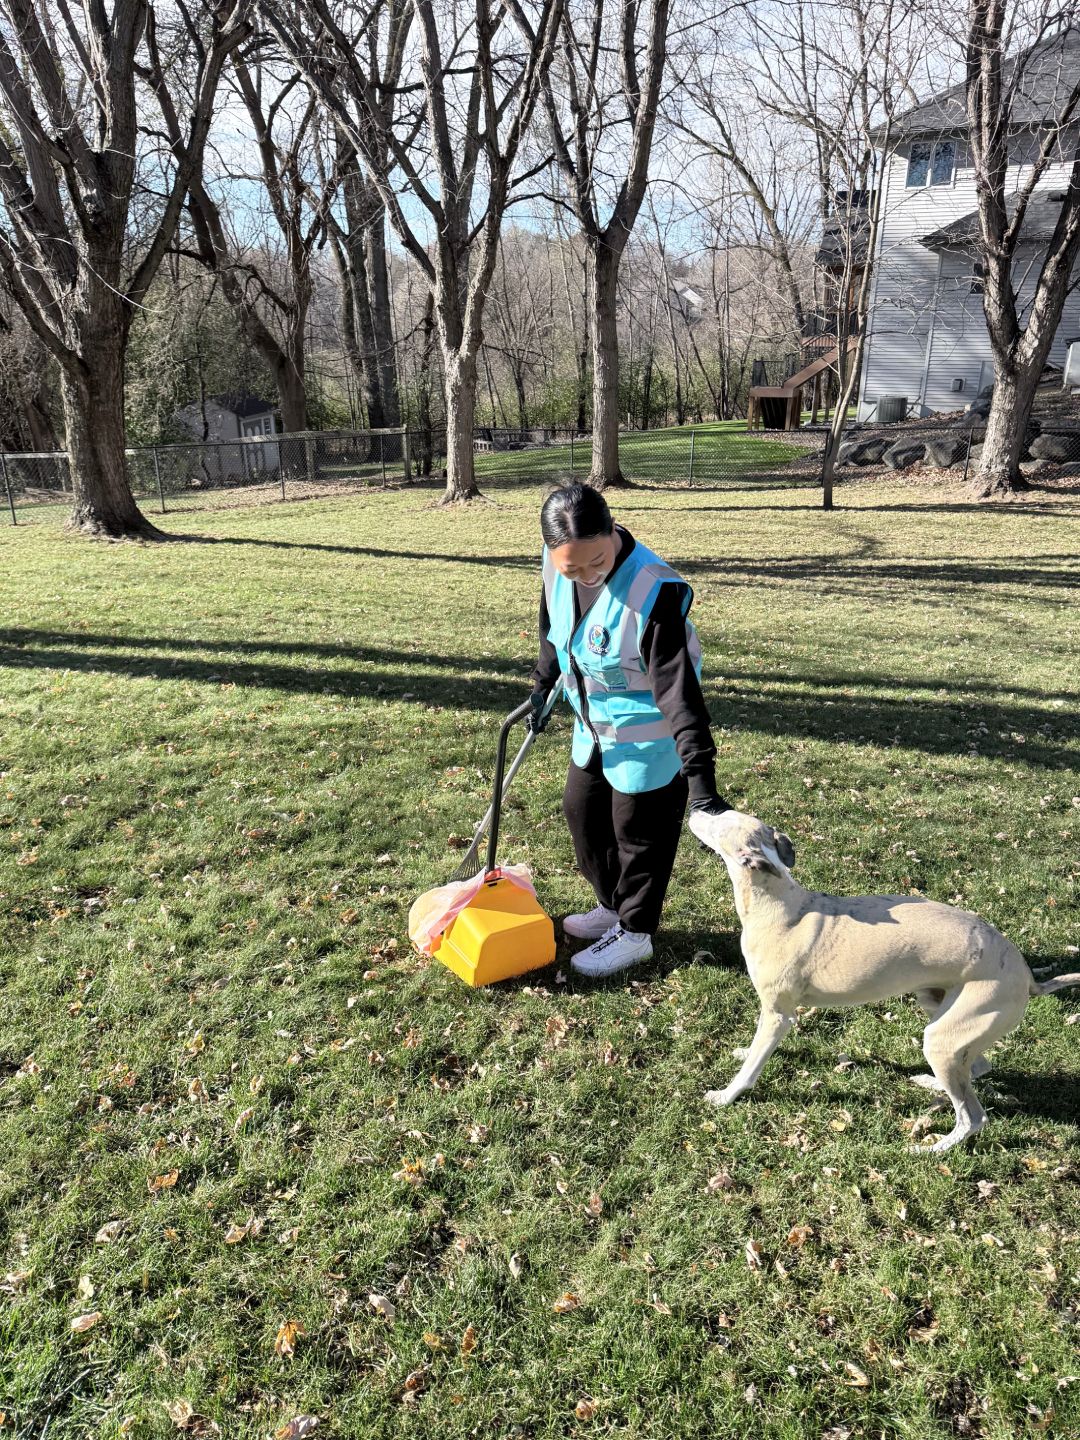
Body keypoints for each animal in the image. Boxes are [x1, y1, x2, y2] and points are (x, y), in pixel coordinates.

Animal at [688, 809, 1080, 1153]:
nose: (694, 812)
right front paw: (745, 1051)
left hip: (944, 1037)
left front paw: (724, 1096)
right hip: (943, 1014)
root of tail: (1027, 975)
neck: (779, 907)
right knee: (980, 1065)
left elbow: (750, 1069)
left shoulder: (777, 1013)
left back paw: (929, 1149)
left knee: (972, 1117)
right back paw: (930, 1082)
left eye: (720, 822)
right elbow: (756, 1050)